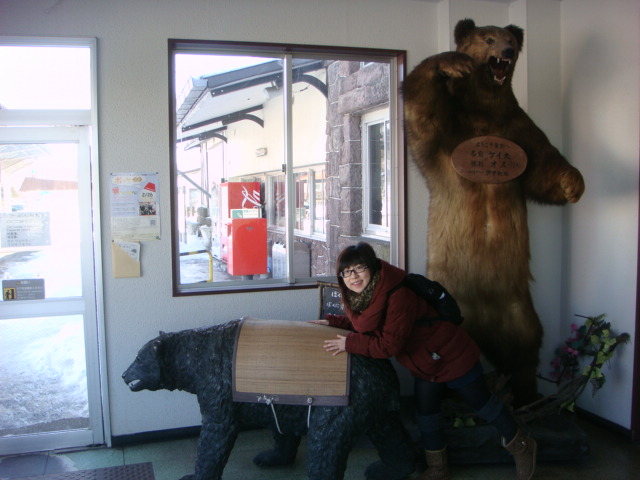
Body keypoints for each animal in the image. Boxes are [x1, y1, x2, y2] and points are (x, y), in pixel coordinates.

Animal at [122, 318, 418, 480]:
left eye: (138, 357)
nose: (124, 375)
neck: (194, 361)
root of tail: (382, 365)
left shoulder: (218, 388)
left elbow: (216, 435)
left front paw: (194, 474)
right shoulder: (274, 396)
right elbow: (280, 424)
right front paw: (272, 456)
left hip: (346, 402)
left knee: (326, 444)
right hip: (373, 399)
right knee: (390, 432)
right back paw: (392, 469)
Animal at [404, 17, 584, 404]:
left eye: (508, 37)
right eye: (488, 38)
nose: (508, 51)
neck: (486, 110)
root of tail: (483, 323)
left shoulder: (519, 131)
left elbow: (544, 166)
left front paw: (573, 183)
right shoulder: (451, 131)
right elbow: (423, 113)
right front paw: (451, 63)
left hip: (520, 309)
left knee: (526, 346)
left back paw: (525, 393)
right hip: (445, 304)